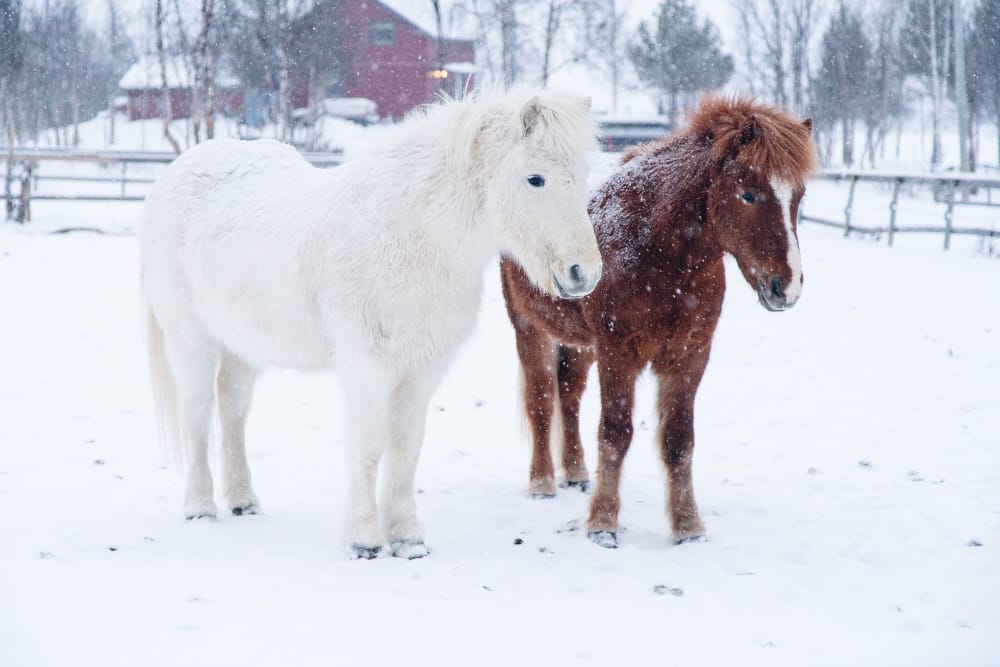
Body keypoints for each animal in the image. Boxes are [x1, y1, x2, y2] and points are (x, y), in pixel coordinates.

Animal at [140, 89, 603, 559]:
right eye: (535, 179)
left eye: (583, 173)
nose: (584, 272)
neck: (411, 236)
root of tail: (175, 175)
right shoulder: (369, 366)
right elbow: (368, 447)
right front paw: (364, 540)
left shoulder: (421, 371)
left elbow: (405, 449)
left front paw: (407, 538)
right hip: (191, 339)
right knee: (198, 415)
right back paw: (200, 507)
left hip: (243, 347)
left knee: (233, 411)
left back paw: (243, 500)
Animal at [501, 95, 818, 548]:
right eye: (749, 194)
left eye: (799, 195)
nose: (786, 288)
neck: (657, 248)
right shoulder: (618, 354)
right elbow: (615, 433)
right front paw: (603, 523)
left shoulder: (689, 356)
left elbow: (679, 440)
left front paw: (688, 526)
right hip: (530, 330)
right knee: (541, 401)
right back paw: (542, 481)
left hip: (579, 345)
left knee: (569, 396)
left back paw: (576, 472)